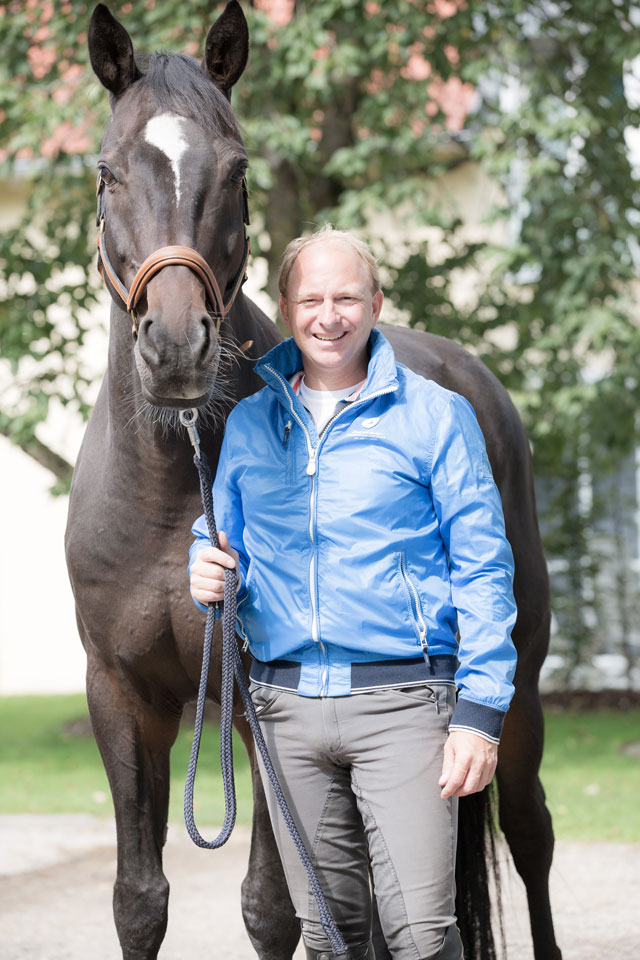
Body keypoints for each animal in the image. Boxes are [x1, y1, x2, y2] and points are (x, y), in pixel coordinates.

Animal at [66, 3, 560, 956]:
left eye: (237, 171)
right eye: (108, 173)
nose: (176, 348)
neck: (171, 483)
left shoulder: (258, 703)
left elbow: (270, 903)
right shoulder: (120, 695)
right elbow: (139, 900)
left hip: (516, 693)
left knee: (529, 833)